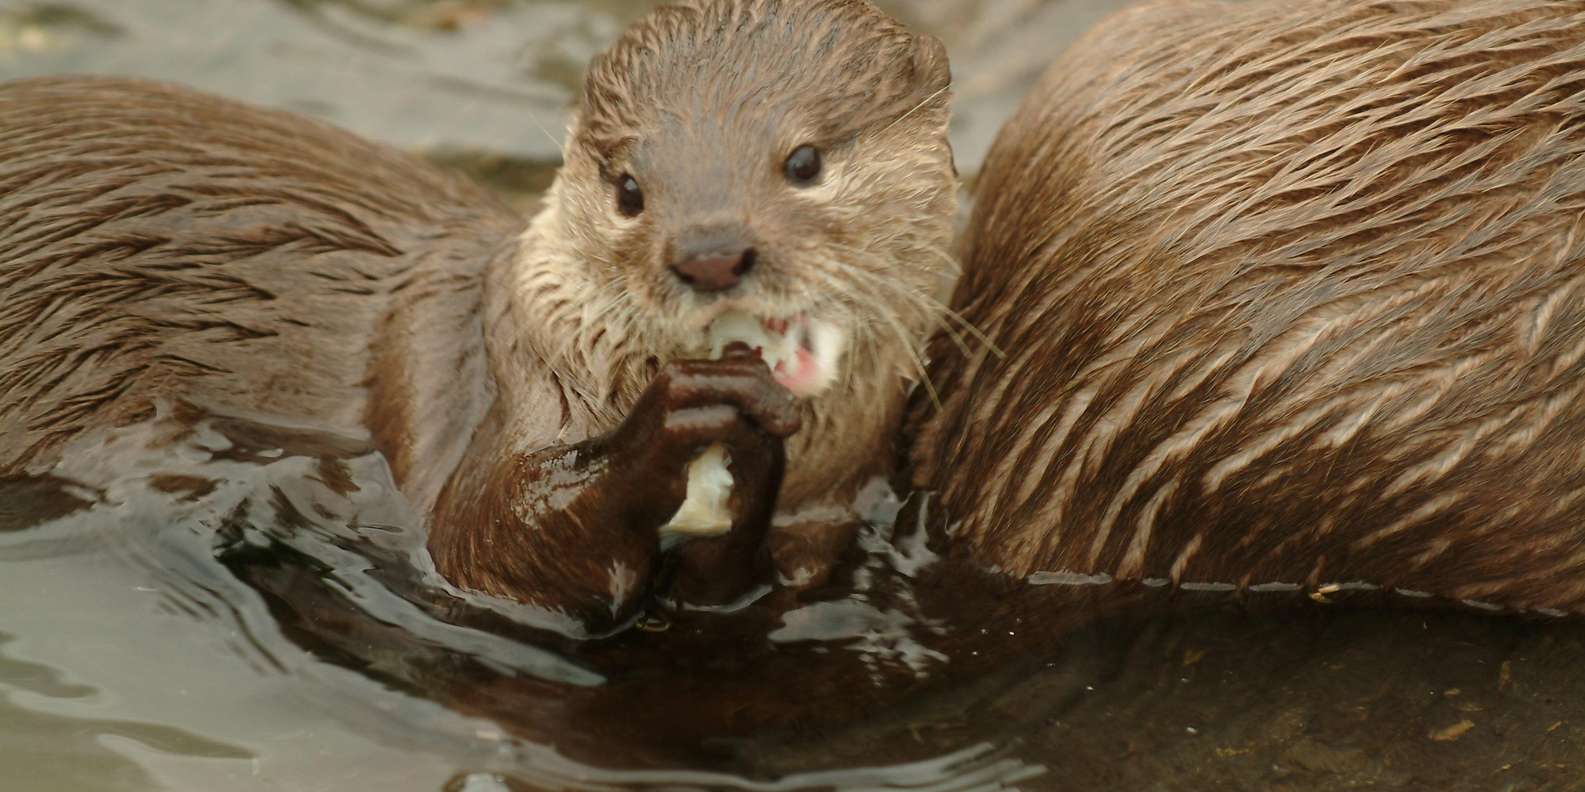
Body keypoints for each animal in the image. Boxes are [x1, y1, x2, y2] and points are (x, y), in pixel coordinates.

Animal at [0, 0, 956, 631]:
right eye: (629, 189)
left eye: (803, 161)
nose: (711, 250)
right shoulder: (491, 383)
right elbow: (481, 545)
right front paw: (675, 423)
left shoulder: (824, 515)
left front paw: (747, 458)